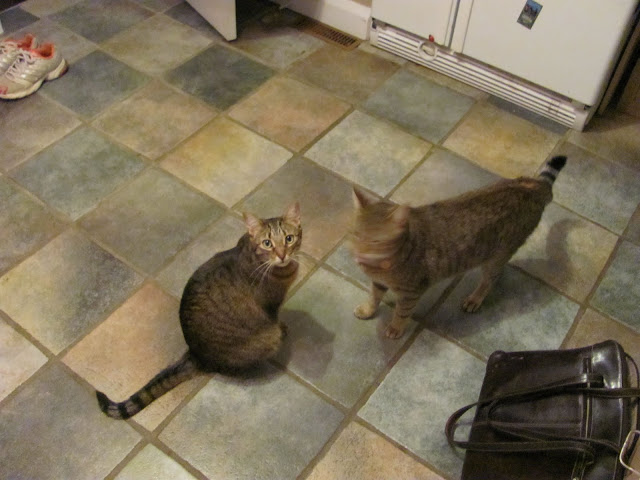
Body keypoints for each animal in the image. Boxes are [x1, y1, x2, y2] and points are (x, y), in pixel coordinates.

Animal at [96, 203, 302, 419]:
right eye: (267, 243)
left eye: (289, 239)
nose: (282, 255)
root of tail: (196, 355)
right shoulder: (270, 306)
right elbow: (276, 319)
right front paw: (284, 327)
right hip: (266, 339)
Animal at [350, 156, 566, 339]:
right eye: (356, 235)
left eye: (376, 242)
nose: (359, 254)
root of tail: (533, 186)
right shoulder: (379, 283)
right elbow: (374, 296)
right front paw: (368, 310)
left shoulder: (411, 293)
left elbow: (401, 313)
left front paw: (395, 328)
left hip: (496, 257)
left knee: (490, 279)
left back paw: (475, 299)